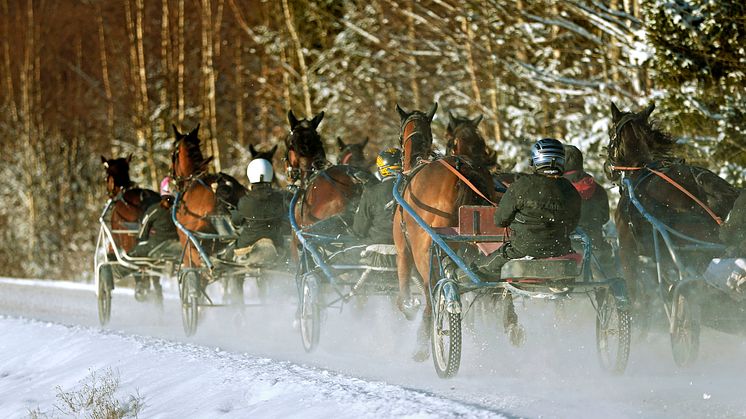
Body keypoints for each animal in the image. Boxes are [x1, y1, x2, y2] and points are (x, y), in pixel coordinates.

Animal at [390, 103, 494, 362]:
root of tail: (463, 171)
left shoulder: (403, 249)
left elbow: (404, 293)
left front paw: (409, 308)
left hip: (424, 250)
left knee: (434, 294)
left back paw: (424, 342)